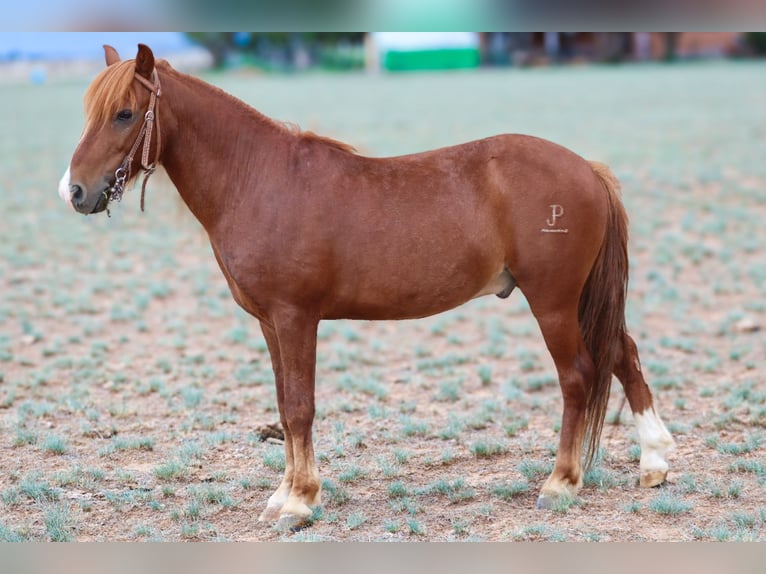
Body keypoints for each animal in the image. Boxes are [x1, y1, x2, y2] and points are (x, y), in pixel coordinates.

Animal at [58, 44, 675, 530]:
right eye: (89, 112)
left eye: (124, 113)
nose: (75, 191)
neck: (256, 180)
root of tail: (587, 169)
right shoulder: (269, 323)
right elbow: (283, 405)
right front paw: (283, 494)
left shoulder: (296, 318)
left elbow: (299, 408)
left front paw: (300, 503)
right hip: (578, 301)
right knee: (623, 354)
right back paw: (655, 464)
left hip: (552, 303)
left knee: (578, 376)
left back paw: (561, 484)